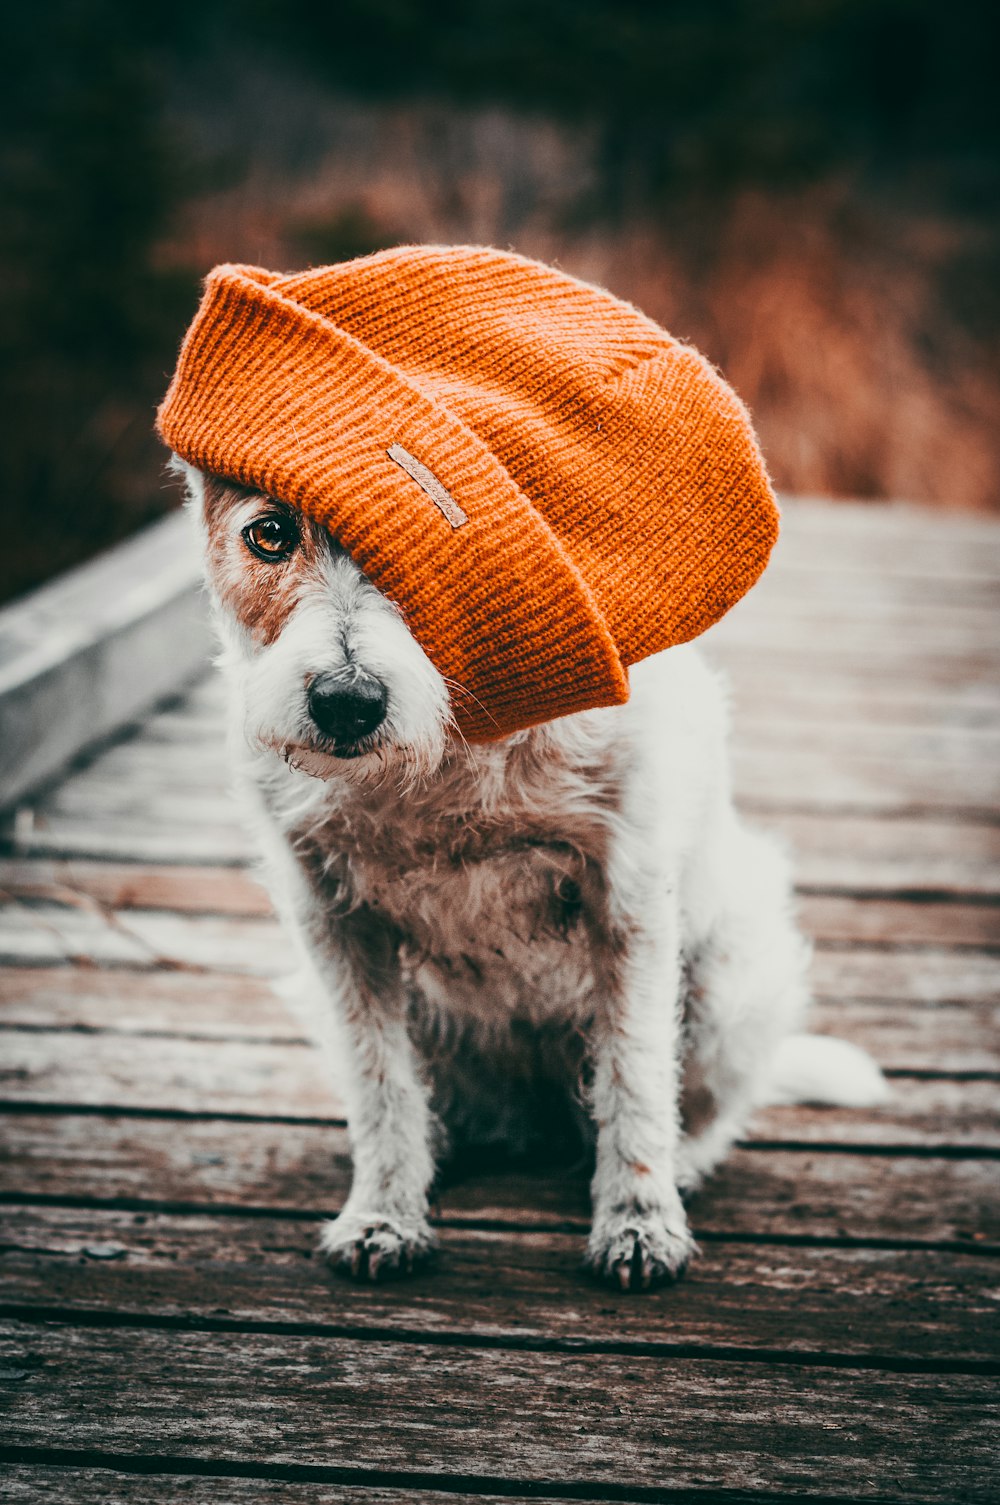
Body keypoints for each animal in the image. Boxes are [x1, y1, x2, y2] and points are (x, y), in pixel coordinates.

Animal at [177, 460, 885, 1294]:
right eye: (270, 533)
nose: (346, 701)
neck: (446, 755)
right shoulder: (332, 922)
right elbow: (380, 1082)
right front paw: (383, 1215)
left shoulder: (630, 898)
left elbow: (637, 1075)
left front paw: (639, 1226)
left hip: (735, 977)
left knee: (700, 1106)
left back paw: (678, 1167)